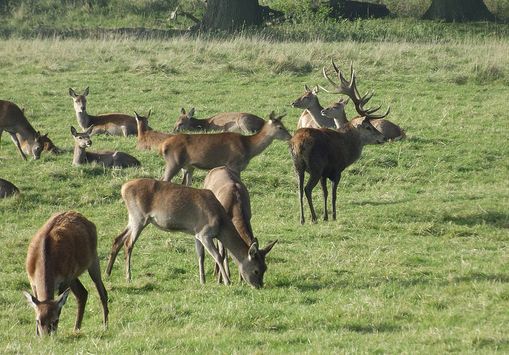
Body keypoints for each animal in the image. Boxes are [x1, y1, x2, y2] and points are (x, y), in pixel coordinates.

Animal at [104, 178, 276, 290]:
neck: (220, 222)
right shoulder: (205, 232)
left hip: (132, 218)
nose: (259, 286)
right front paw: (227, 282)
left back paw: (107, 273)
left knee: (118, 239)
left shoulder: (196, 233)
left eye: (265, 267)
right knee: (128, 243)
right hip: (139, 216)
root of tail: (123, 188)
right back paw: (128, 277)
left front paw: (202, 281)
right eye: (256, 270)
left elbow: (200, 255)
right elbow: (218, 256)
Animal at [161, 112, 292, 186]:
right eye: (280, 127)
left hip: (188, 166)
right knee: (164, 179)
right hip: (174, 162)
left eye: (284, 125)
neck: (248, 147)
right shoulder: (233, 163)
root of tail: (163, 146)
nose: (290, 137)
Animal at [288, 60, 386, 224]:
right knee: (307, 189)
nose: (383, 137)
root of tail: (298, 144)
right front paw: (333, 216)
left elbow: (325, 192)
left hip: (297, 166)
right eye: (368, 126)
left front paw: (326, 216)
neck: (348, 147)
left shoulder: (324, 173)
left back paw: (302, 219)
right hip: (315, 166)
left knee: (299, 189)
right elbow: (333, 194)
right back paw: (313, 218)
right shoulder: (336, 169)